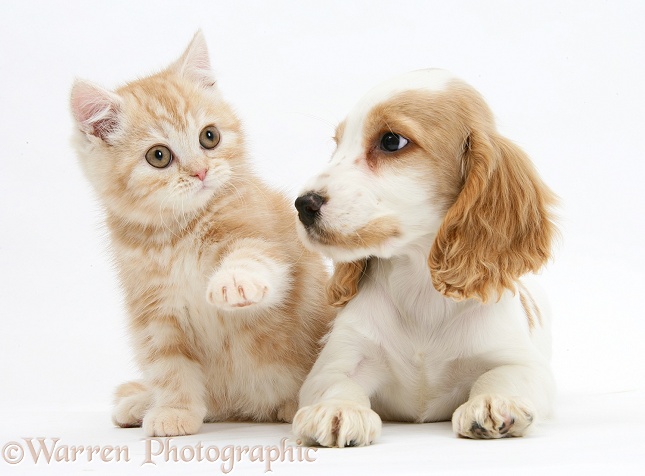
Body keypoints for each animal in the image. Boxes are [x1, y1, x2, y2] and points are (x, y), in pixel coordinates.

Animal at [68, 31, 334, 436]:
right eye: (158, 156)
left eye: (209, 137)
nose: (200, 171)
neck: (180, 232)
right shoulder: (154, 310)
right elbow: (169, 366)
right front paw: (173, 410)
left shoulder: (270, 242)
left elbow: (255, 257)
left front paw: (234, 282)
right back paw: (141, 402)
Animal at [294, 69, 556, 446]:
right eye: (337, 144)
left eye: (391, 141)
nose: (302, 204)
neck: (418, 282)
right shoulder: (339, 360)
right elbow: (336, 383)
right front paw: (338, 409)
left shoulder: (523, 363)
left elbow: (503, 375)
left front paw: (494, 401)